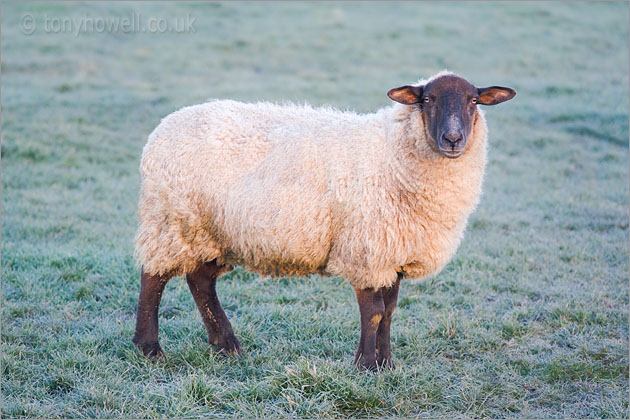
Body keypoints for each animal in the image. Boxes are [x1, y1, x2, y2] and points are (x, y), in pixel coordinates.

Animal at [133, 72, 520, 370]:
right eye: (428, 99)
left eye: (473, 100)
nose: (453, 139)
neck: (392, 153)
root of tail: (164, 126)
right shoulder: (366, 249)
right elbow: (374, 311)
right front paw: (367, 366)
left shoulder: (391, 251)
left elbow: (390, 311)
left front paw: (385, 363)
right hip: (170, 220)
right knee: (153, 279)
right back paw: (149, 348)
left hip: (213, 231)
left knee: (200, 281)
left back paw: (226, 344)